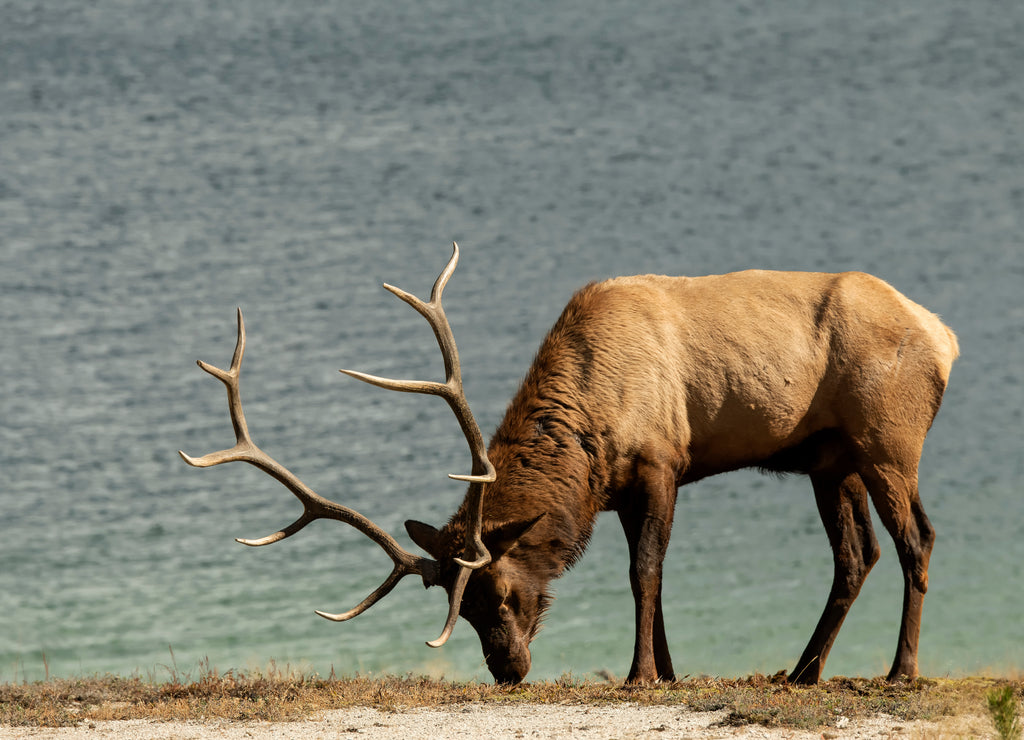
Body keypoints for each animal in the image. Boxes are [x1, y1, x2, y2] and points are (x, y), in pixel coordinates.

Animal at [182, 245, 958, 687]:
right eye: (460, 611)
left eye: (500, 593)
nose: (508, 672)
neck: (591, 432)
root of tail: (945, 337)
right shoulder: (618, 491)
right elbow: (655, 582)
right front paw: (669, 671)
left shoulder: (661, 461)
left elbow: (644, 573)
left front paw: (640, 676)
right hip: (832, 459)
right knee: (856, 556)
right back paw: (802, 673)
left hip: (889, 442)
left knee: (916, 540)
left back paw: (900, 671)